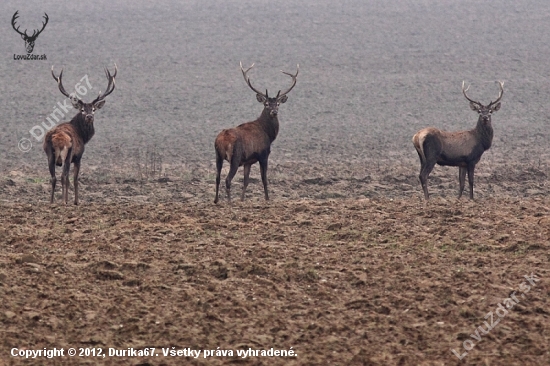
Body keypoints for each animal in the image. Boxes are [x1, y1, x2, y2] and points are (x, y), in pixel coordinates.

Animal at [44, 64, 118, 204]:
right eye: (82, 109)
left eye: (93, 109)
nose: (89, 116)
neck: (83, 136)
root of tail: (57, 138)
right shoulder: (78, 157)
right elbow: (75, 179)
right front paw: (76, 201)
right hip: (67, 154)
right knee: (63, 176)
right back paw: (63, 202)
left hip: (49, 154)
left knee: (54, 177)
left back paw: (51, 202)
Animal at [216, 63, 302, 204]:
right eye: (266, 104)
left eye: (278, 104)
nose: (274, 112)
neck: (269, 134)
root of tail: (221, 139)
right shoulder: (263, 155)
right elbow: (264, 179)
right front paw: (267, 199)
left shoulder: (248, 161)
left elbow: (246, 181)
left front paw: (242, 199)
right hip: (235, 156)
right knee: (227, 179)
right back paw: (229, 202)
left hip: (217, 156)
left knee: (217, 177)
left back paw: (216, 200)